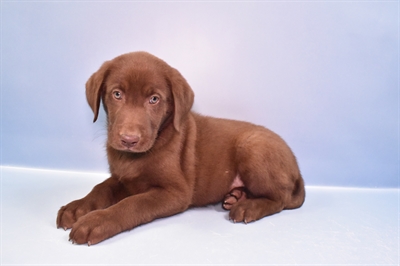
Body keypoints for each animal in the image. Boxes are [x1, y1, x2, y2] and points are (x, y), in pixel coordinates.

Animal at [56, 51, 304, 245]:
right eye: (117, 94)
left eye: (154, 99)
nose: (129, 139)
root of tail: (296, 167)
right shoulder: (121, 178)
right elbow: (101, 188)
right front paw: (77, 208)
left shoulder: (175, 192)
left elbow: (132, 203)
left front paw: (96, 221)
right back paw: (236, 196)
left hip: (254, 147)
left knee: (280, 199)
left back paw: (247, 207)